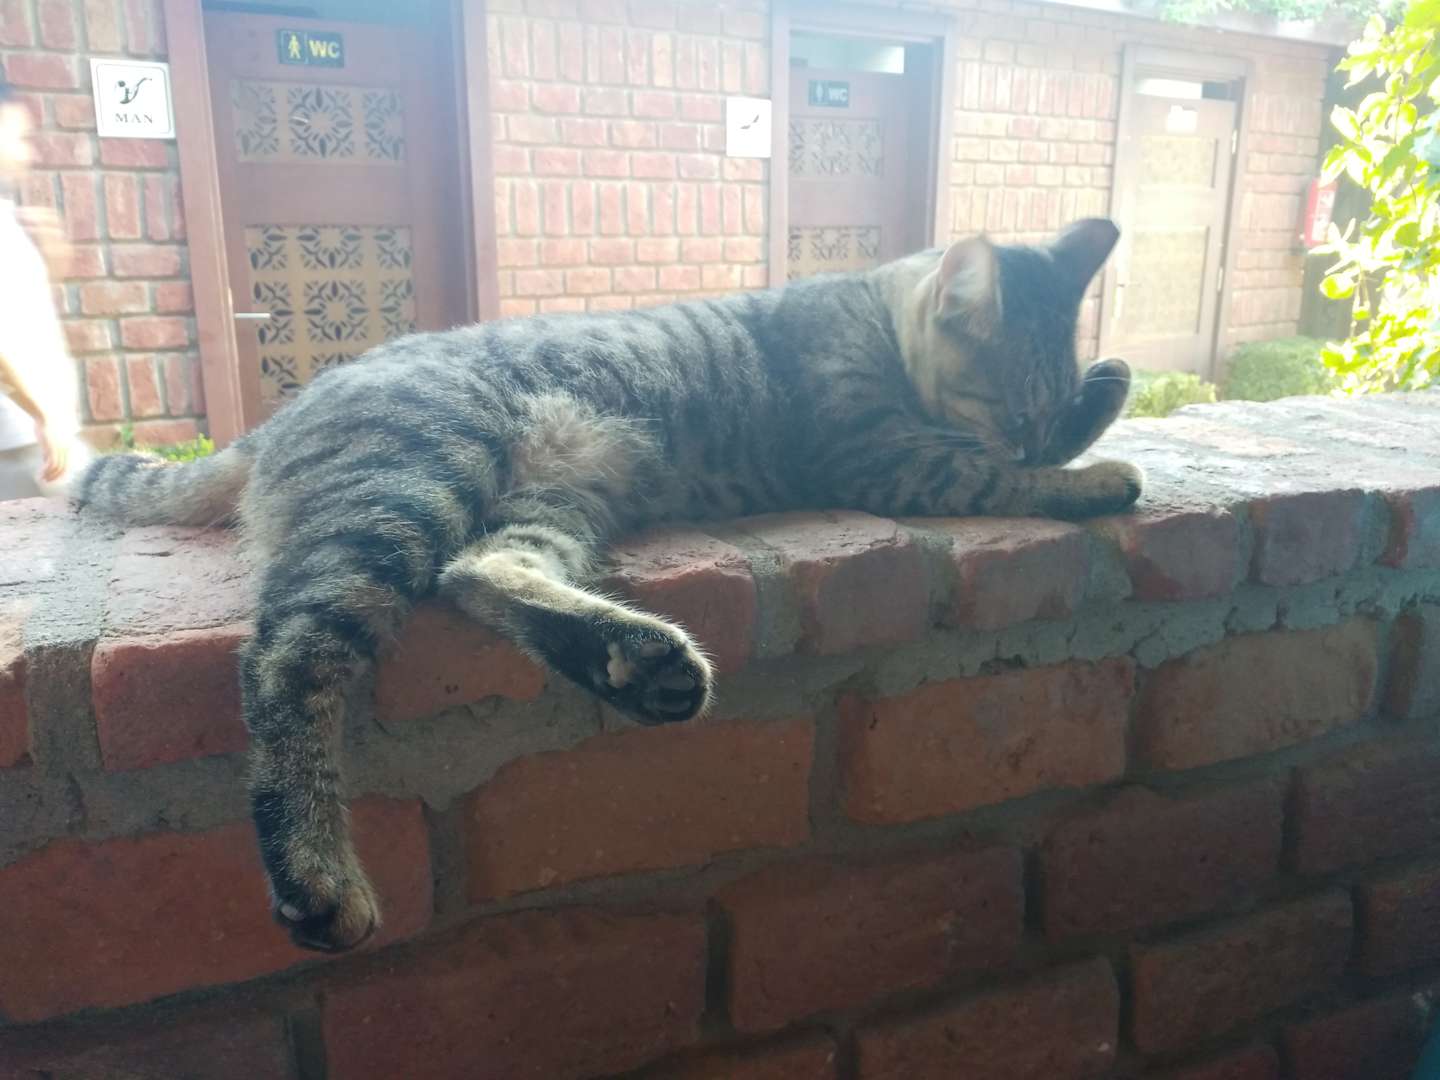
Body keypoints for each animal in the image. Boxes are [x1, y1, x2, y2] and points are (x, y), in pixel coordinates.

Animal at [75, 217, 1140, 954]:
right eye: (1008, 412)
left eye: (1037, 408)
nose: (1033, 433)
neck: (870, 310)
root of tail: (279, 416)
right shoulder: (891, 458)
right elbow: (999, 479)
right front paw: (1091, 474)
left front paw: (1106, 390)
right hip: (406, 487)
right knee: (288, 656)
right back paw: (314, 871)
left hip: (555, 496)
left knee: (484, 568)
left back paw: (641, 662)